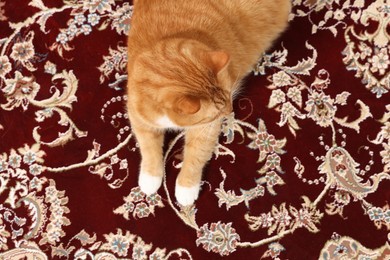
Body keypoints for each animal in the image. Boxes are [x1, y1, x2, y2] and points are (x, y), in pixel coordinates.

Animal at [126, 0, 290, 207]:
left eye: (229, 97)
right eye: (218, 111)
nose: (230, 111)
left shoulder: (205, 129)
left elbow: (196, 154)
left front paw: (185, 188)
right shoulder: (138, 117)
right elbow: (148, 147)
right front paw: (150, 178)